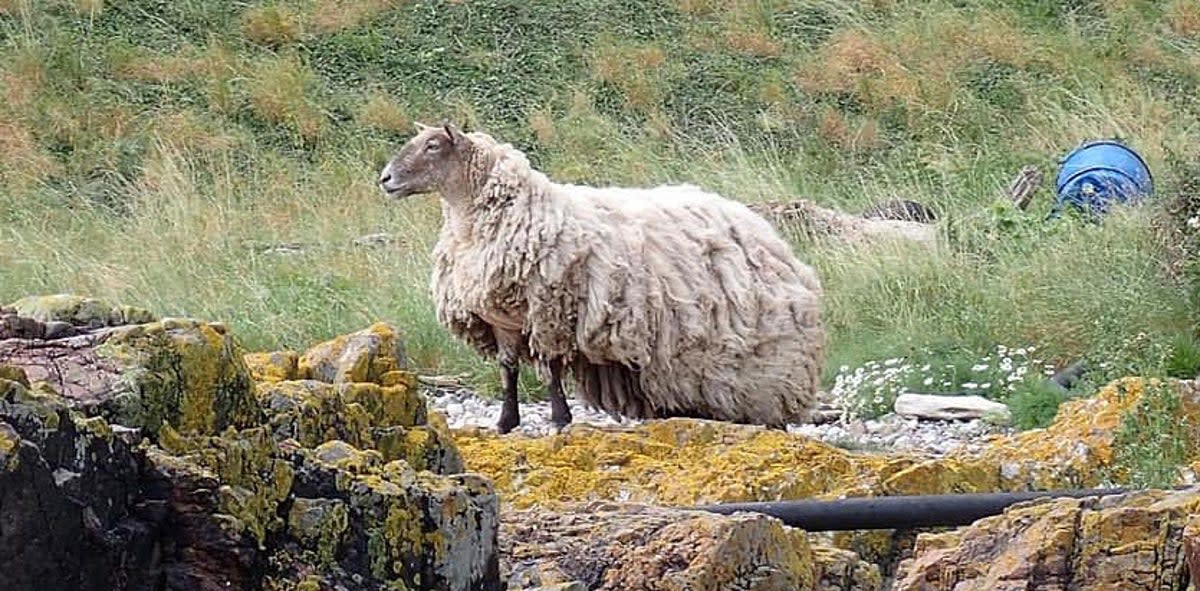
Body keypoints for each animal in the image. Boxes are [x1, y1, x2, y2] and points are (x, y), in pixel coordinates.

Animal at [374, 121, 825, 434]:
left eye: (433, 145)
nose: (385, 179)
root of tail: (769, 236)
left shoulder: (549, 309)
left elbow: (551, 369)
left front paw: (560, 419)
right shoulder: (502, 318)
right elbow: (508, 369)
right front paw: (505, 422)